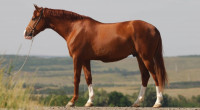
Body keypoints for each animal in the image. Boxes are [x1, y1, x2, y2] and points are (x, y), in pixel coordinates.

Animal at [24, 4, 168, 107]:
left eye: (34, 18)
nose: (26, 33)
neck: (75, 28)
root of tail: (154, 28)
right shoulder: (85, 59)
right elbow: (89, 78)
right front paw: (89, 102)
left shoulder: (77, 58)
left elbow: (76, 79)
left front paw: (72, 102)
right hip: (139, 57)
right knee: (145, 76)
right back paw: (137, 102)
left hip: (146, 57)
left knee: (155, 76)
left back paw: (157, 102)